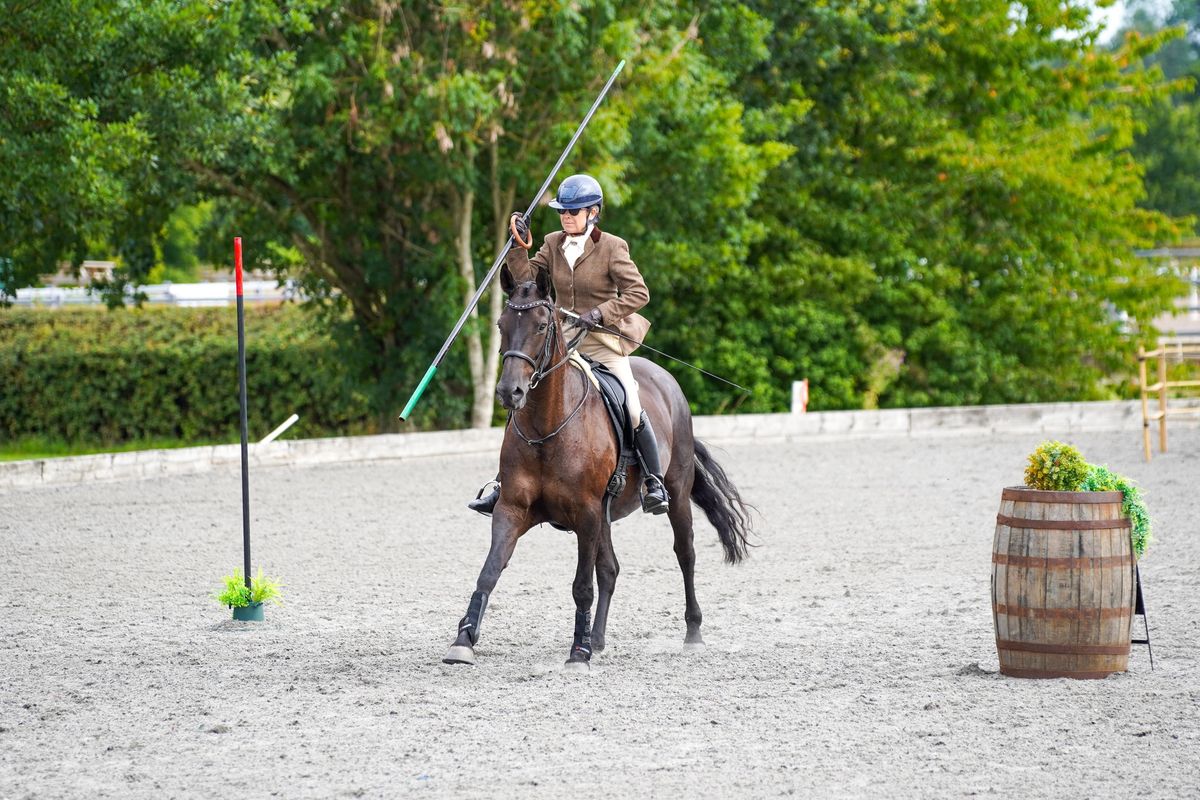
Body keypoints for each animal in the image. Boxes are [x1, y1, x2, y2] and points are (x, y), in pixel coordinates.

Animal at [446, 263, 753, 671]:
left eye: (541, 325)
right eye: (500, 324)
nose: (510, 392)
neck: (547, 426)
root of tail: (666, 378)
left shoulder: (586, 513)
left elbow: (581, 585)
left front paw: (577, 653)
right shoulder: (513, 509)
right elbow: (489, 571)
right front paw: (463, 640)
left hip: (675, 491)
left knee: (684, 553)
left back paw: (692, 633)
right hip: (606, 513)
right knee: (610, 570)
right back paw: (598, 638)